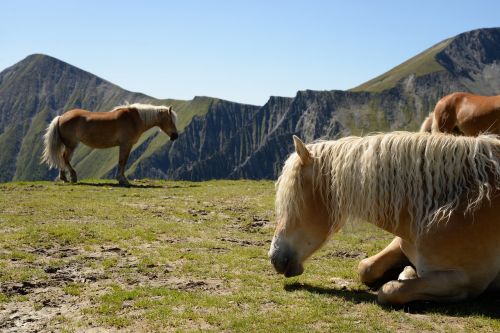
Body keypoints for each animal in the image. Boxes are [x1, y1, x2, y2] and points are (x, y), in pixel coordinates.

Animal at [41, 102, 178, 185]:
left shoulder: (125, 146)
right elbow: (122, 161)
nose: (175, 136)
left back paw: (64, 178)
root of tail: (61, 117)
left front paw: (121, 179)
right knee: (65, 158)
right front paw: (122, 179)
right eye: (171, 120)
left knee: (64, 158)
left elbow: (123, 161)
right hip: (71, 144)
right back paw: (73, 177)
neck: (134, 119)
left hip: (69, 145)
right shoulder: (125, 145)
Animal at [270, 132, 500, 304]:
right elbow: (365, 267)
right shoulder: (401, 242)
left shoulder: (465, 281)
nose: (274, 258)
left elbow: (389, 291)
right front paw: (407, 271)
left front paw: (406, 275)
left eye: (294, 201)